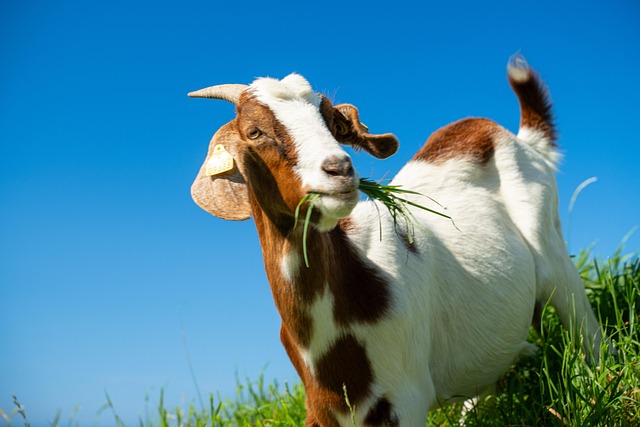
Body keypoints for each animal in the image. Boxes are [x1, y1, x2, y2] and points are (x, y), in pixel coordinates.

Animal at [187, 55, 602, 426]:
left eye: (334, 125)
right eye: (254, 132)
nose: (340, 170)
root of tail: (506, 134)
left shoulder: (405, 399)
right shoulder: (321, 408)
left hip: (550, 246)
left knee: (587, 331)